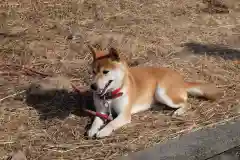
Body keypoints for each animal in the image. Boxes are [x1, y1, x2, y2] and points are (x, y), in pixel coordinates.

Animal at [86, 45, 221, 138]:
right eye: (93, 72)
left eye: (105, 72)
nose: (93, 86)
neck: (110, 96)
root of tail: (181, 79)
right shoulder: (101, 111)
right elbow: (96, 121)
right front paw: (92, 130)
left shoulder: (124, 115)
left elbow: (112, 123)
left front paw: (103, 131)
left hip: (162, 92)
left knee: (187, 104)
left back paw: (178, 112)